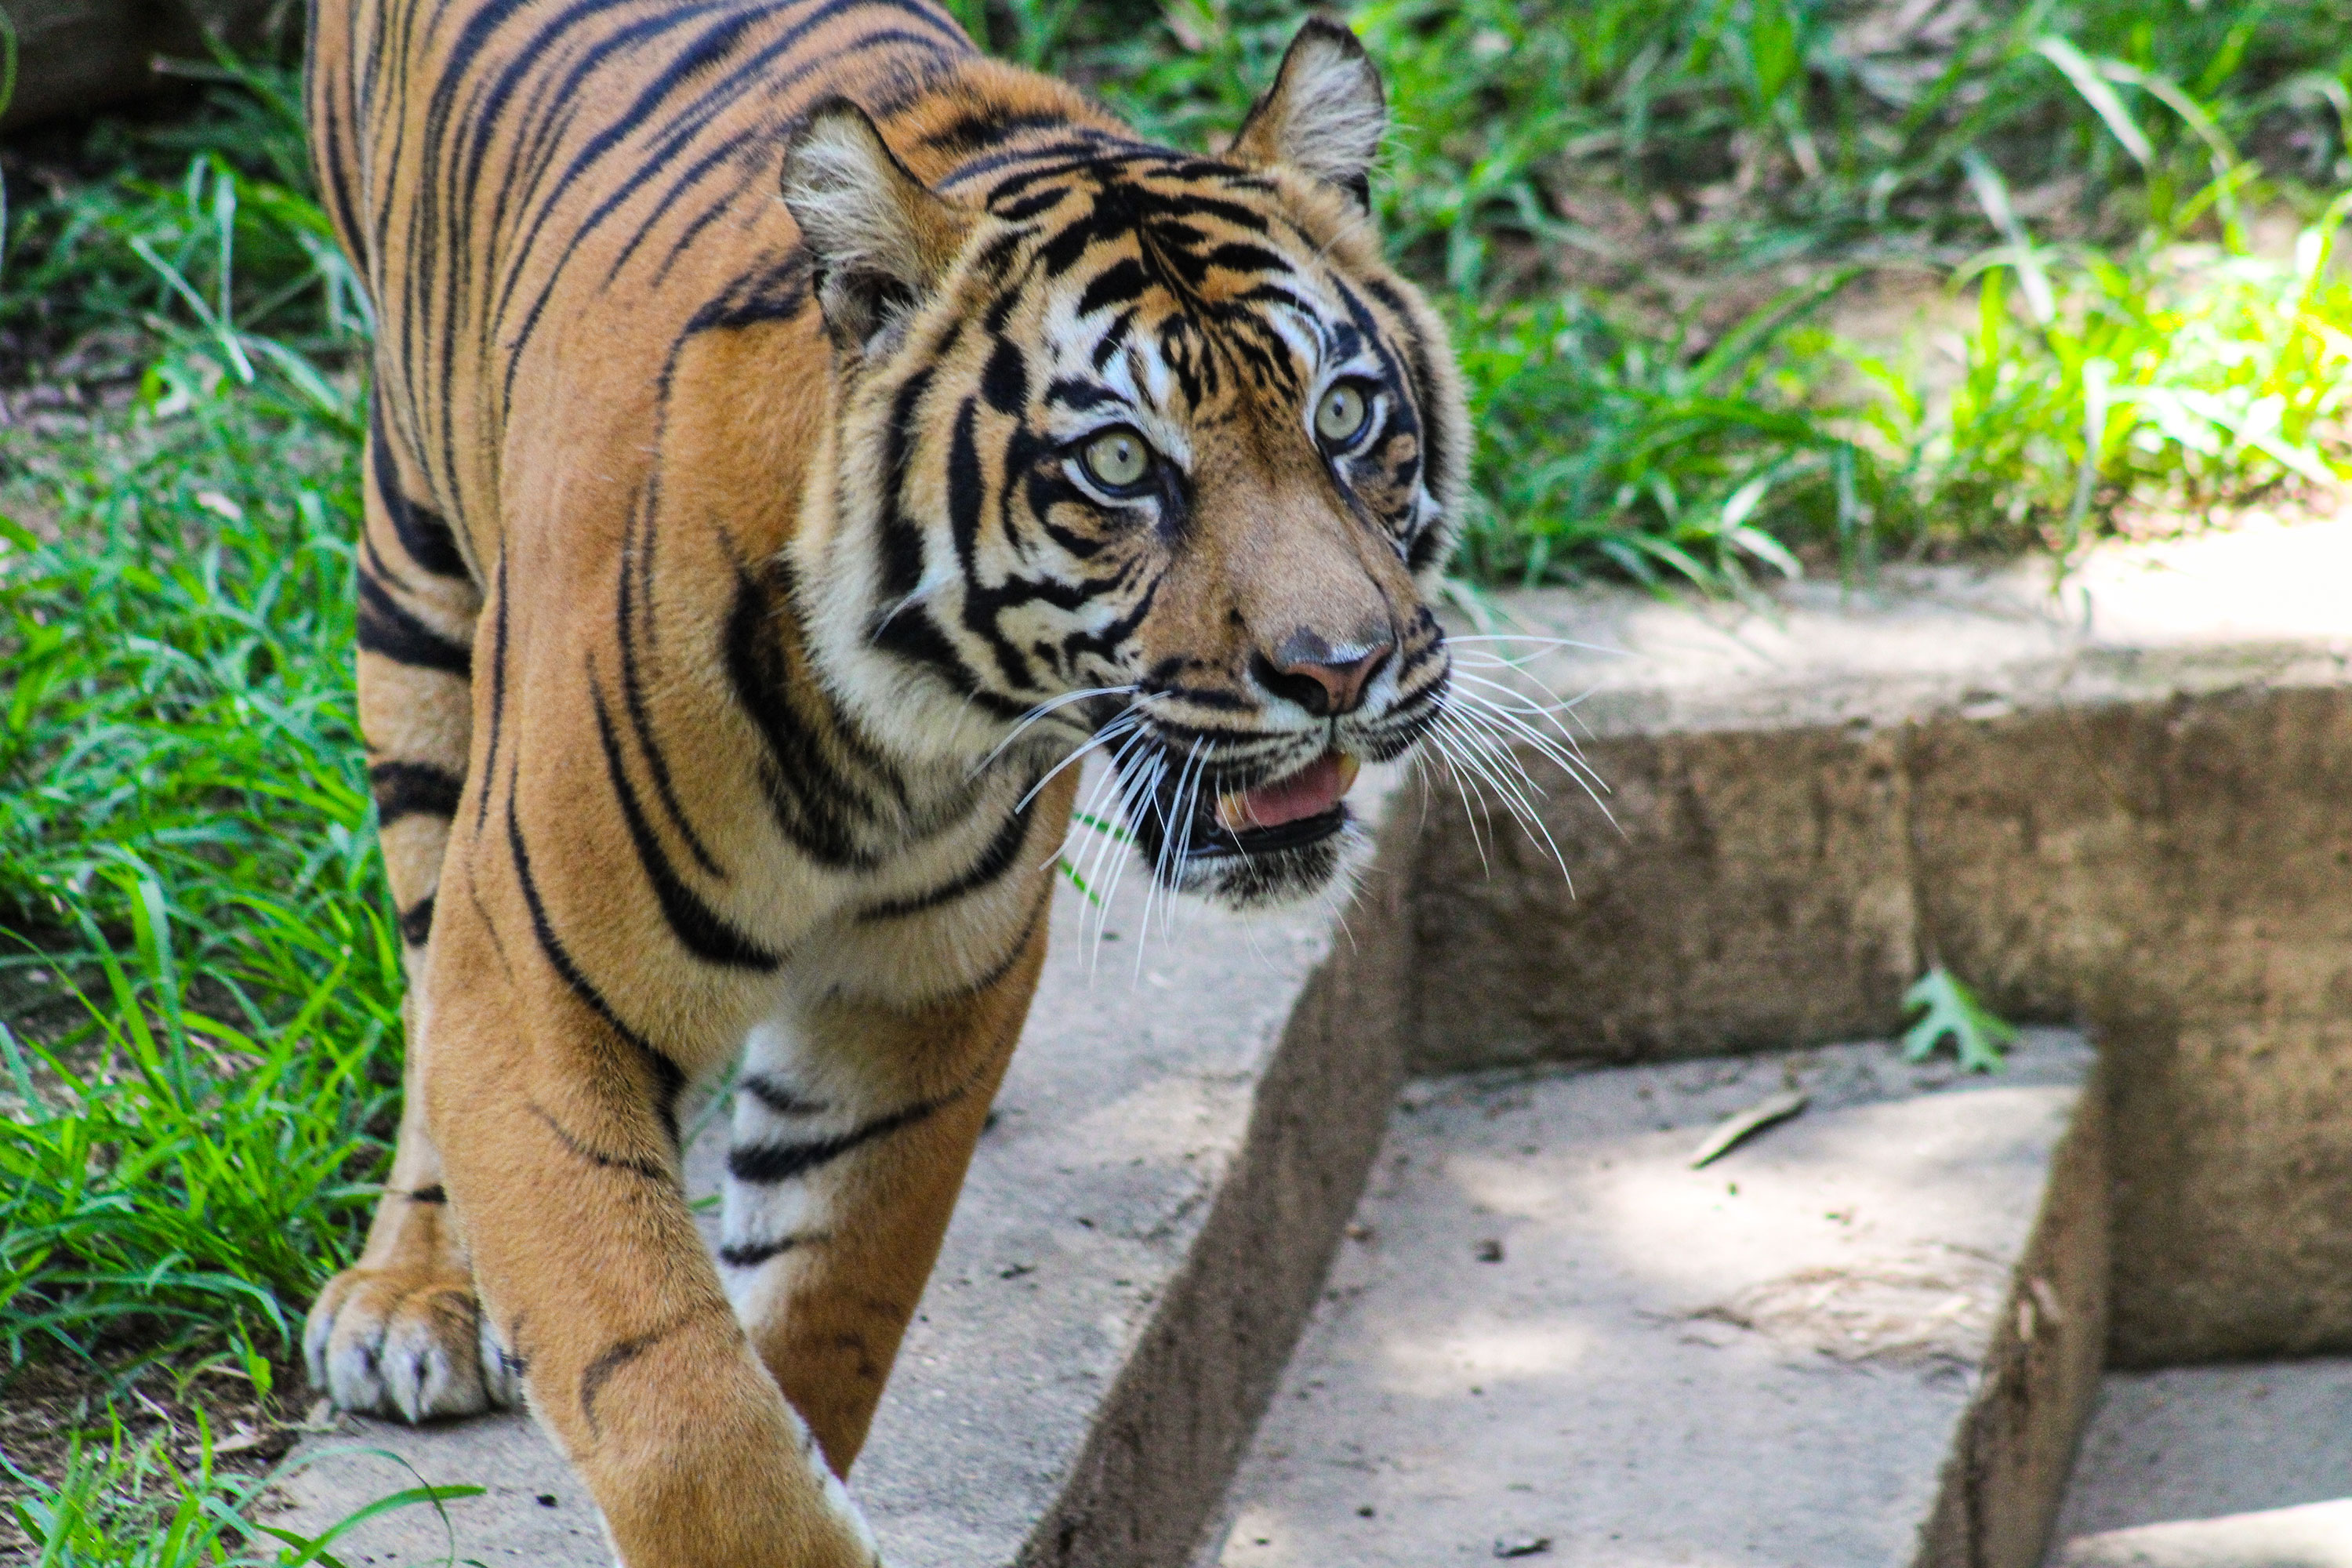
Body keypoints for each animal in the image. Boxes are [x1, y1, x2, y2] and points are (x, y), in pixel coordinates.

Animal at [297, 0, 1469, 1558]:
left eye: (1343, 417)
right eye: (1118, 461)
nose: (1340, 671)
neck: (900, 736)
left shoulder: (916, 1003)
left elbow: (824, 1310)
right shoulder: (539, 998)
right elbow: (674, 1408)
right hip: (414, 586)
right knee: (428, 960)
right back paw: (415, 1293)